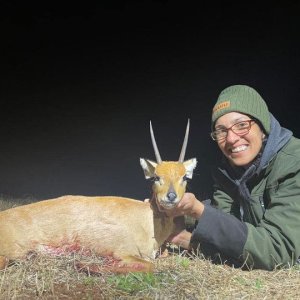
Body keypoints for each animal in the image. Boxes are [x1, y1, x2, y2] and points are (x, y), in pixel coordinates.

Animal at [0, 119, 197, 272]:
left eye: (184, 177)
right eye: (156, 177)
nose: (170, 196)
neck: (148, 225)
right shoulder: (123, 251)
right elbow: (149, 266)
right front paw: (84, 265)